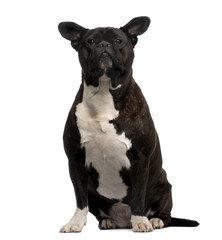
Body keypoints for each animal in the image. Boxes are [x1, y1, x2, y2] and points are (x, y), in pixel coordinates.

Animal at [58, 15, 199, 232]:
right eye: (90, 41)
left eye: (118, 40)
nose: (104, 45)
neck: (104, 92)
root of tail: (122, 221)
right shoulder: (75, 160)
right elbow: (80, 199)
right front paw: (75, 223)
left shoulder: (140, 159)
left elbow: (138, 196)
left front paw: (140, 221)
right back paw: (107, 221)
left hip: (164, 186)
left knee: (165, 213)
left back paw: (155, 220)